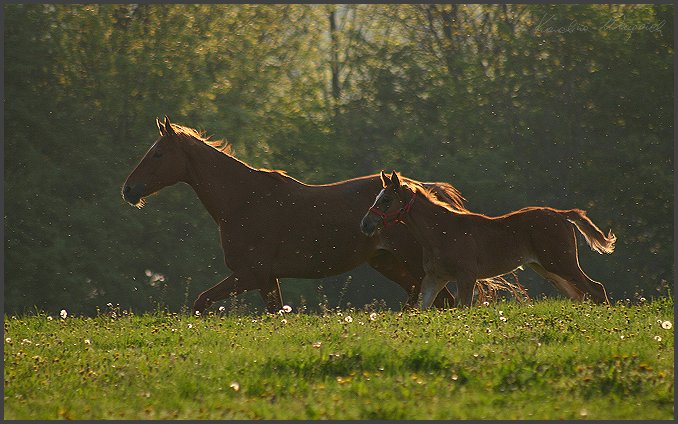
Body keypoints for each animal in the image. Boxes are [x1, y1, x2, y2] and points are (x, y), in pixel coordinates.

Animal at [122, 117, 468, 314]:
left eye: (158, 154)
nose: (128, 190)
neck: (243, 201)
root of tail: (421, 190)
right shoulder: (266, 278)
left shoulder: (252, 274)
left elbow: (200, 303)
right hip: (389, 262)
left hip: (413, 264)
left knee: (443, 302)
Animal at [364, 171, 620, 308]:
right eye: (377, 197)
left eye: (386, 200)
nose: (365, 224)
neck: (440, 233)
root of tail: (561, 215)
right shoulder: (435, 277)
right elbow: (422, 307)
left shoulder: (466, 276)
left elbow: (462, 309)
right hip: (546, 268)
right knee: (580, 294)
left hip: (561, 263)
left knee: (595, 289)